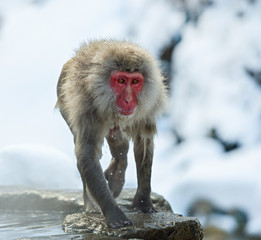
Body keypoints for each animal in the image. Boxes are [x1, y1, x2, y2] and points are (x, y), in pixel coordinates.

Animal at [56, 39, 167, 229]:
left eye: (135, 81)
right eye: (121, 80)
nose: (128, 100)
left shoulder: (148, 105)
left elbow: (144, 142)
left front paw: (143, 201)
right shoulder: (86, 106)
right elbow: (87, 152)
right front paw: (112, 212)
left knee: (119, 140)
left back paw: (118, 165)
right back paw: (91, 203)